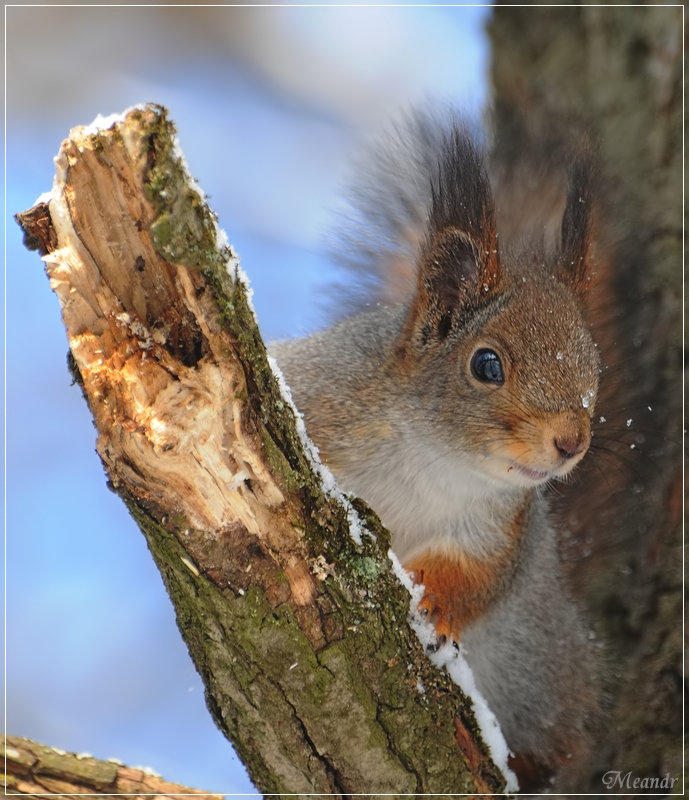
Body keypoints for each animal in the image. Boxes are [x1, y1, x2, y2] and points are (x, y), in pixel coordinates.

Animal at [268, 109, 600, 792]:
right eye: (486, 364)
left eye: (594, 365)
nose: (570, 441)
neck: (432, 456)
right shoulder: (322, 398)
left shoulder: (502, 528)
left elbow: (475, 579)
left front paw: (429, 600)